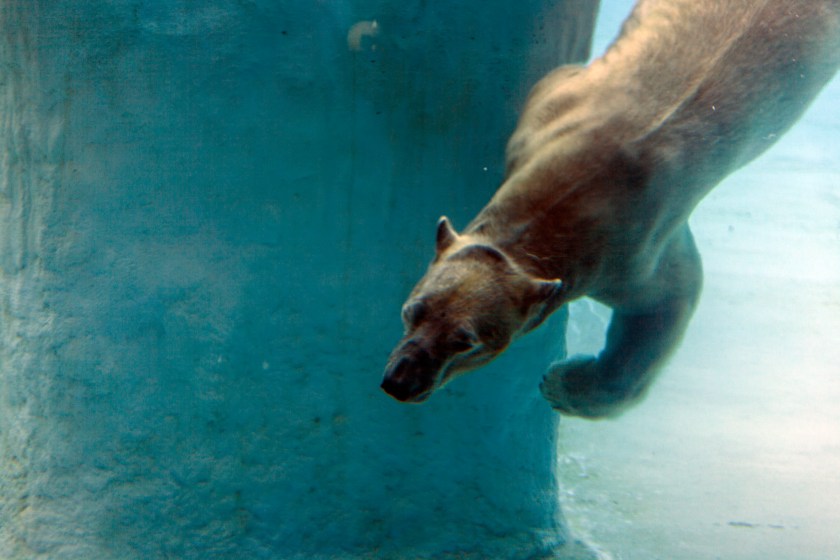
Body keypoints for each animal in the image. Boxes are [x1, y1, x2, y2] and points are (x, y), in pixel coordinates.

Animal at [381, 0, 840, 418]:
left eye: (467, 342)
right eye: (413, 309)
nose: (400, 381)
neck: (573, 188)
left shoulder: (632, 252)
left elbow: (672, 295)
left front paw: (562, 386)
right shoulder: (550, 112)